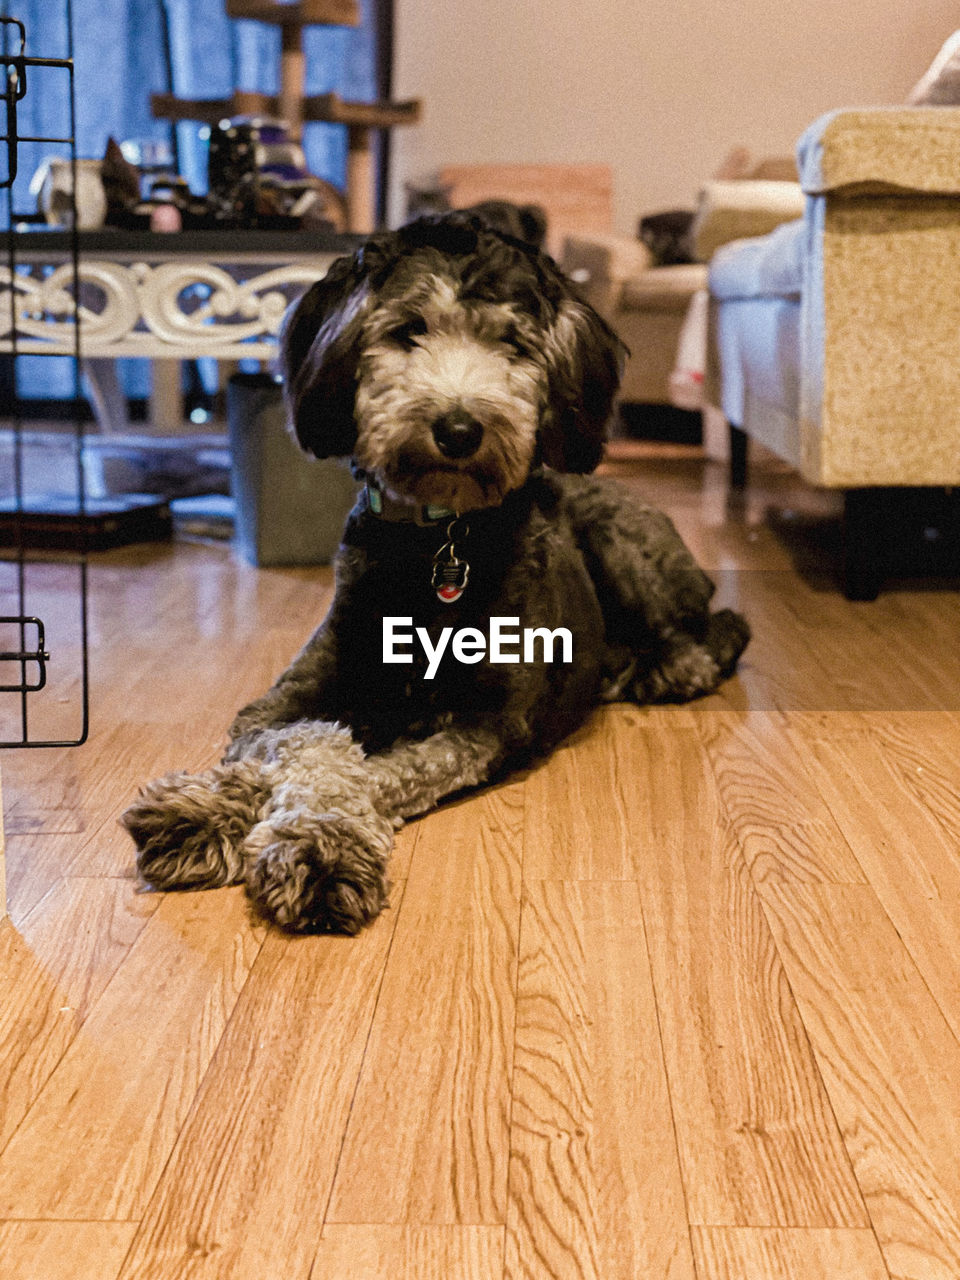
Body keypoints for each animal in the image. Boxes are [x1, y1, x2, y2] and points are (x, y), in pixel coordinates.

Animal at [122, 209, 752, 931]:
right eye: (407, 330)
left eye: (513, 343)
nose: (458, 429)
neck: (437, 543)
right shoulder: (278, 701)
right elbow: (303, 742)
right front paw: (205, 811)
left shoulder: (483, 728)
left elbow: (373, 770)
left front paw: (319, 846)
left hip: (621, 544)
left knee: (707, 640)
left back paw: (649, 668)